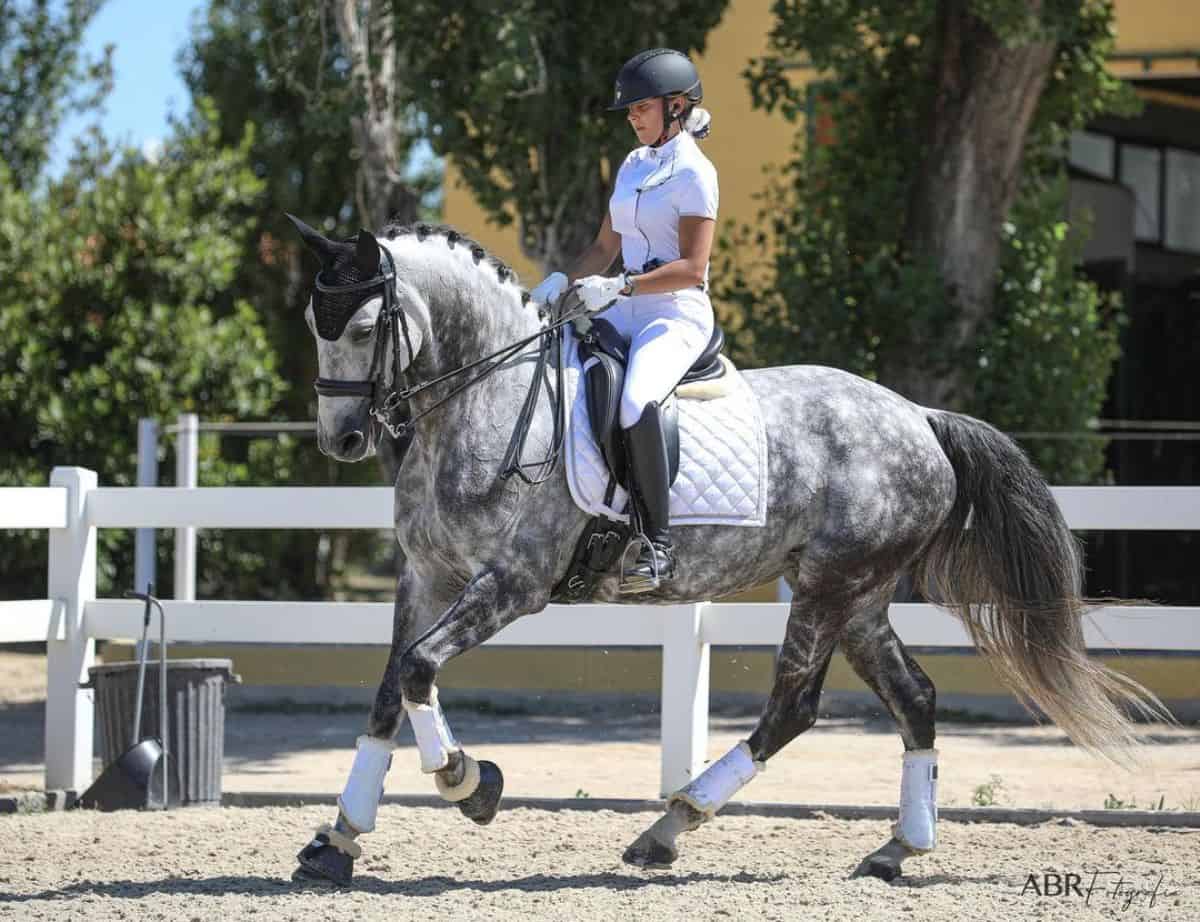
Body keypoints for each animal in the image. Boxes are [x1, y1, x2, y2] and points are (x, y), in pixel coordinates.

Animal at [285, 216, 1166, 883]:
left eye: (361, 328)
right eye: (311, 329)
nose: (344, 439)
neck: (490, 400)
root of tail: (919, 417)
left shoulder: (514, 583)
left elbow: (419, 670)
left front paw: (470, 784)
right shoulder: (426, 576)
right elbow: (390, 687)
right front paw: (336, 841)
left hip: (828, 587)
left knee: (792, 708)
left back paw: (669, 827)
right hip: (859, 594)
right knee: (914, 697)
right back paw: (894, 849)